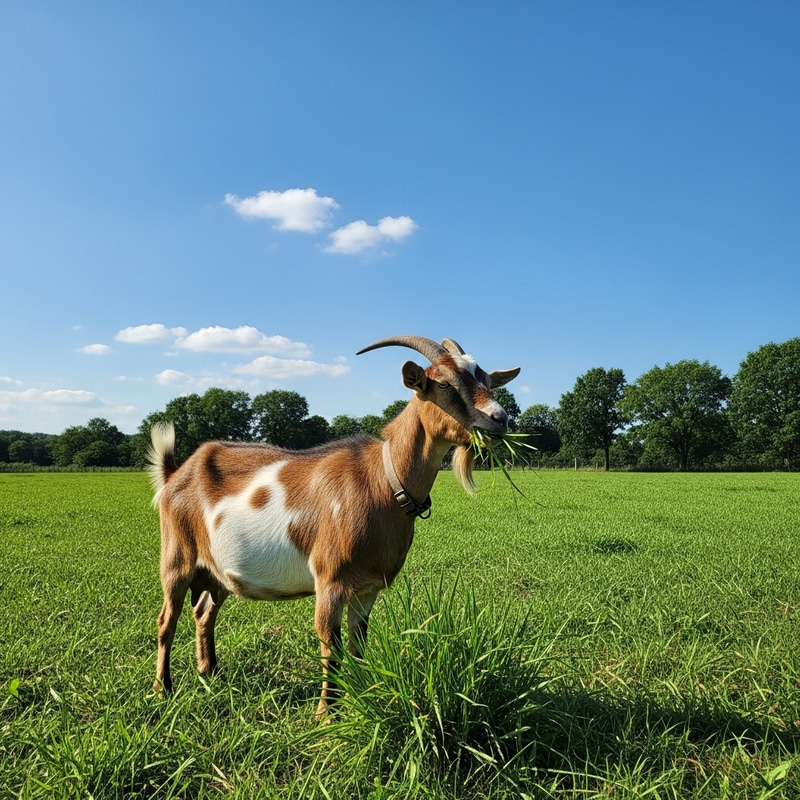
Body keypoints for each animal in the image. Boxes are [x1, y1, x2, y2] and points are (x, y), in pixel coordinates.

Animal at [147, 335, 520, 719]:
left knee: (204, 612)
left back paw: (211, 673)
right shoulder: (330, 581)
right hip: (176, 559)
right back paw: (163, 689)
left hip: (216, 570)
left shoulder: (367, 588)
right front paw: (326, 715)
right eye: (444, 384)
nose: (499, 419)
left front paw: (360, 697)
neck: (384, 481)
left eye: (486, 380)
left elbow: (358, 646)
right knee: (166, 620)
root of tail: (175, 474)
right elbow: (331, 646)